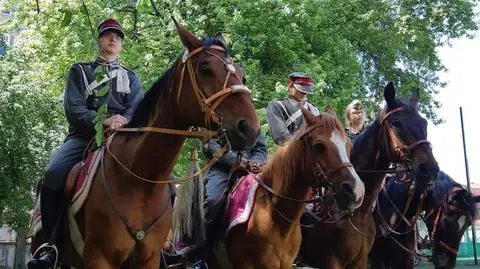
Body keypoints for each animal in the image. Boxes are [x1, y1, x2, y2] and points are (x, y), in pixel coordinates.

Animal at [28, 19, 260, 266]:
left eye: (242, 75)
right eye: (205, 69)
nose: (250, 129)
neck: (139, 182)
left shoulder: (149, 259)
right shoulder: (100, 258)